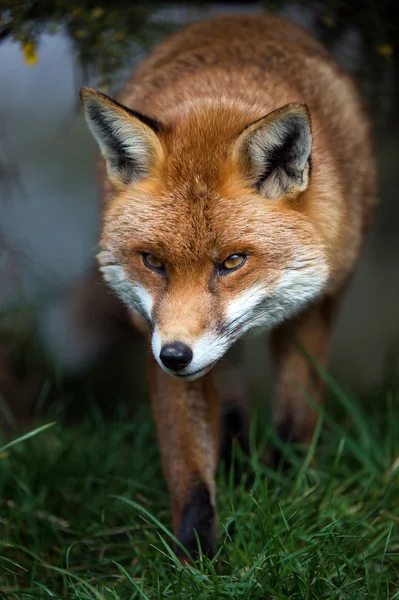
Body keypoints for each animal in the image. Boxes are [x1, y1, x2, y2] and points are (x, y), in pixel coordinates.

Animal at [80, 12, 378, 556]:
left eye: (233, 261)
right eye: (152, 261)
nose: (175, 355)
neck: (220, 97)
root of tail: (241, 16)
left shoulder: (313, 310)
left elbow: (295, 419)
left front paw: (288, 499)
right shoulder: (153, 331)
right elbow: (188, 465)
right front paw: (196, 553)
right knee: (231, 406)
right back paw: (237, 467)